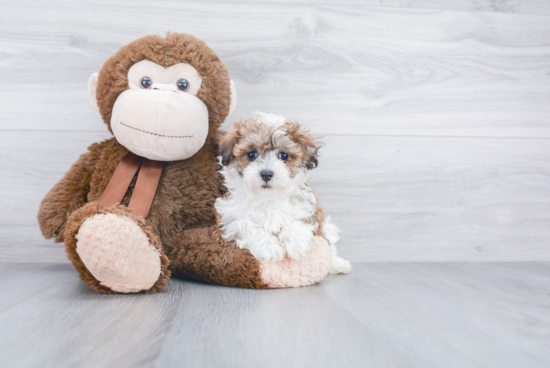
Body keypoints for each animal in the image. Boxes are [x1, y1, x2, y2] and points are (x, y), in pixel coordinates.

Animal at [216, 113, 354, 274]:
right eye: (251, 154)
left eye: (283, 155)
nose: (266, 174)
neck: (268, 199)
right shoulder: (231, 220)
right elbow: (248, 227)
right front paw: (269, 247)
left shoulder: (307, 209)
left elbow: (297, 220)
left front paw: (296, 242)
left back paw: (338, 264)